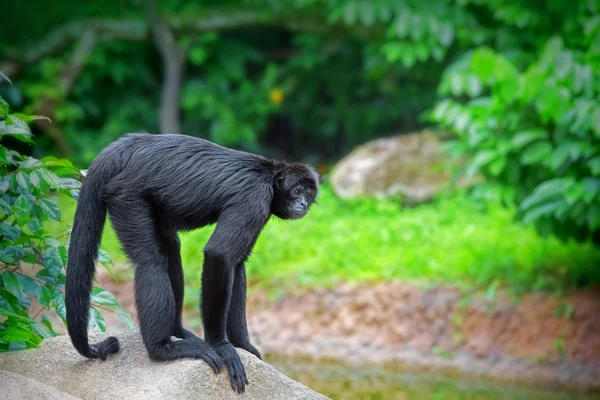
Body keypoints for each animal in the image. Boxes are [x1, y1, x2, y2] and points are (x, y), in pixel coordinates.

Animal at [65, 133, 318, 392]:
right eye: (298, 191)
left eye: (309, 196)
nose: (303, 205)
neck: (269, 175)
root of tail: (128, 145)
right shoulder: (254, 198)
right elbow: (219, 255)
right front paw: (222, 346)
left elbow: (237, 264)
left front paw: (244, 346)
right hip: (126, 195)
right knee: (151, 262)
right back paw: (162, 349)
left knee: (171, 251)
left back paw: (176, 331)